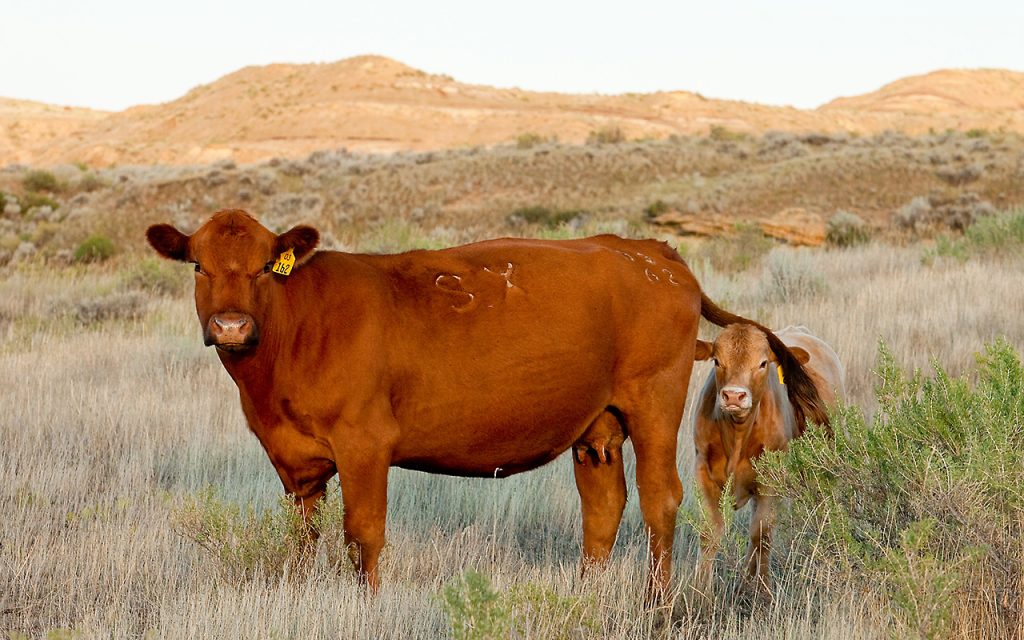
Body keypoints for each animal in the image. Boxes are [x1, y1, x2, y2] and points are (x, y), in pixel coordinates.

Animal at [146, 209, 828, 599]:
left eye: (266, 266)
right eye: (199, 266)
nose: (232, 326)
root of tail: (654, 252)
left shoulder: (365, 443)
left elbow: (362, 533)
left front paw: (367, 607)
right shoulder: (293, 460)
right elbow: (301, 536)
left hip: (653, 403)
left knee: (661, 501)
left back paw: (655, 605)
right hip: (597, 426)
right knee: (602, 509)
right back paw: (584, 595)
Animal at [692, 324, 844, 589]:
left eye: (762, 363)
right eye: (717, 361)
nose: (734, 396)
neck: (737, 436)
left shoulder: (771, 482)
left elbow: (761, 535)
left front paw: (761, 591)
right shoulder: (703, 472)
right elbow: (710, 532)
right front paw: (699, 592)